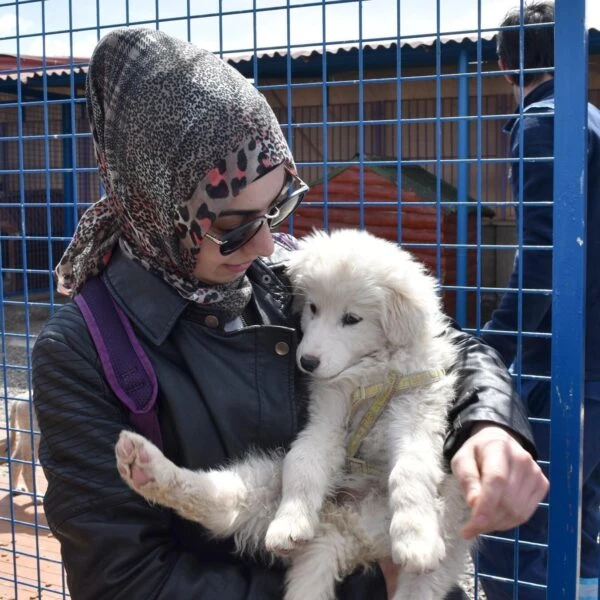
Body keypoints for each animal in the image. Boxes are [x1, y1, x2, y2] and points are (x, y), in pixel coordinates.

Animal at [116, 227, 474, 596]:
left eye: (352, 319)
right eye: (313, 307)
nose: (307, 362)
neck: (369, 369)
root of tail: (345, 529)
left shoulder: (414, 411)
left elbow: (410, 470)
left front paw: (415, 539)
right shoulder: (327, 413)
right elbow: (303, 462)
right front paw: (290, 523)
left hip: (444, 545)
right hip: (265, 482)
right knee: (223, 503)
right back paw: (145, 466)